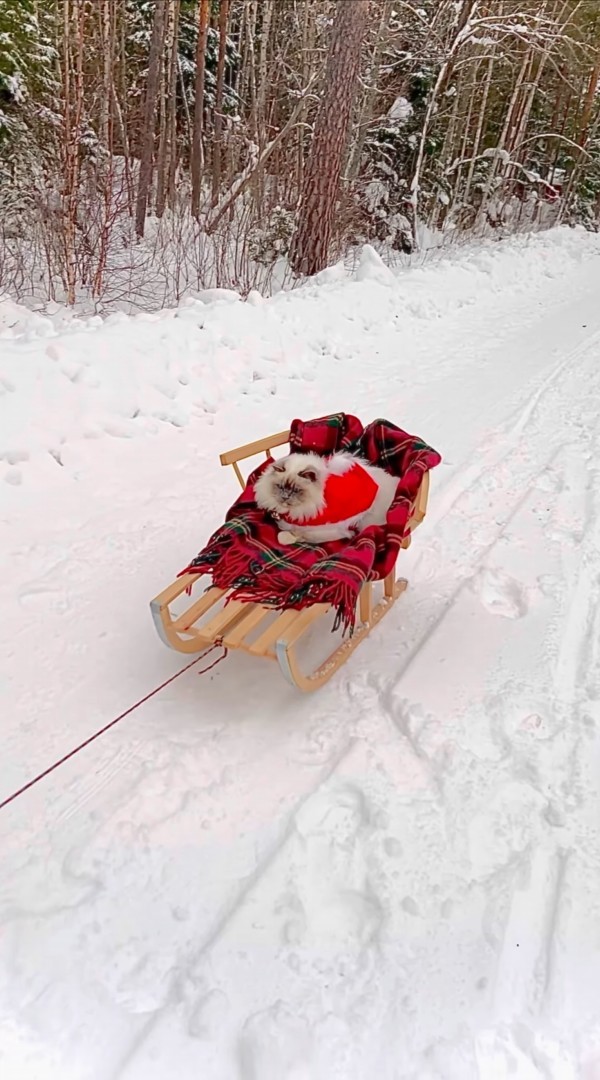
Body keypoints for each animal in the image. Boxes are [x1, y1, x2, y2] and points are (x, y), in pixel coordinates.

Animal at [254, 451, 399, 544]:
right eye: (280, 487)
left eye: (296, 490)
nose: (285, 497)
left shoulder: (325, 531)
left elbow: (287, 537)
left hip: (366, 522)